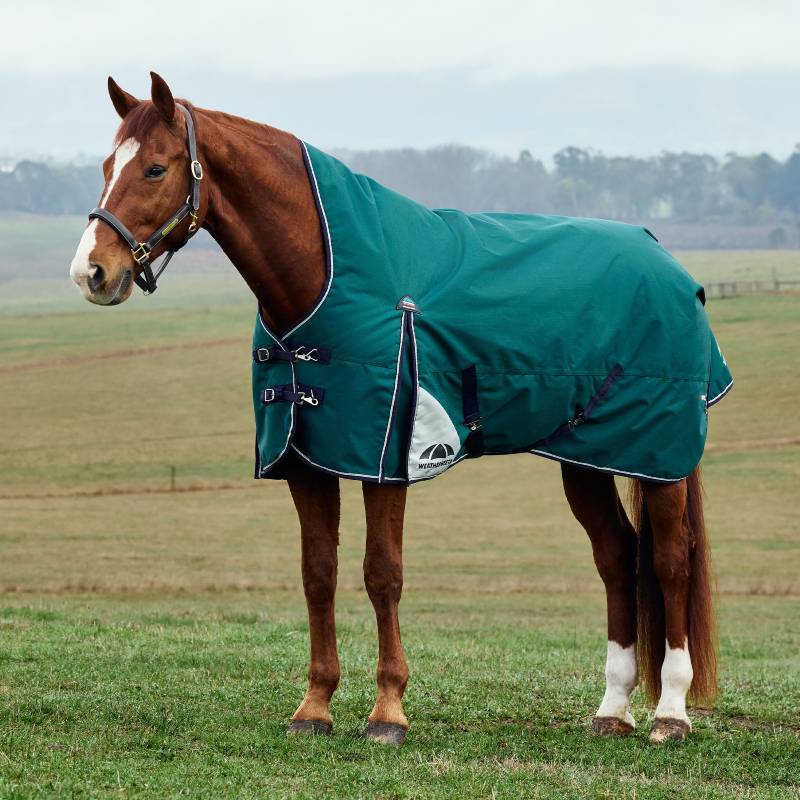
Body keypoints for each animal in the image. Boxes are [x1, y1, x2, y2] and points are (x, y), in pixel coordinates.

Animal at [70, 72, 725, 746]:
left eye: (154, 168)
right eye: (106, 166)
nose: (90, 272)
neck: (324, 273)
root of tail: (669, 264)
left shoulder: (386, 459)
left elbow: (382, 573)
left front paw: (387, 711)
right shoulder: (308, 461)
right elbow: (318, 573)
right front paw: (315, 706)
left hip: (659, 457)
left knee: (670, 561)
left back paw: (670, 712)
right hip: (586, 456)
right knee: (617, 557)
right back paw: (612, 709)